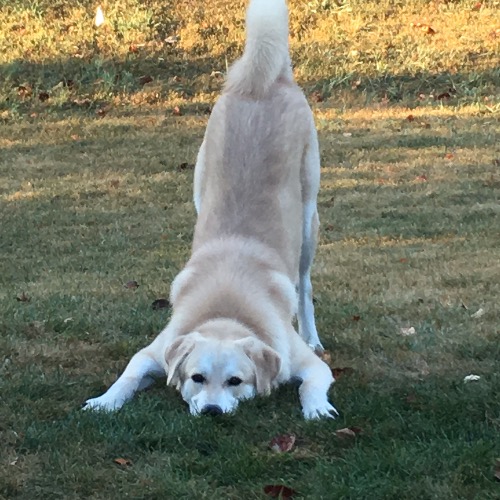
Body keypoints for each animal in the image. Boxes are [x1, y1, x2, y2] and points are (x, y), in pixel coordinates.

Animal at [84, 0, 338, 418]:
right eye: (196, 378)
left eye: (236, 381)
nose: (212, 412)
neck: (227, 310)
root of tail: (266, 81)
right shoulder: (152, 352)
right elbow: (128, 376)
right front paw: (105, 401)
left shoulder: (307, 364)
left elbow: (311, 384)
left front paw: (317, 407)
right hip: (200, 191)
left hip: (307, 222)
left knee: (304, 286)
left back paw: (312, 331)